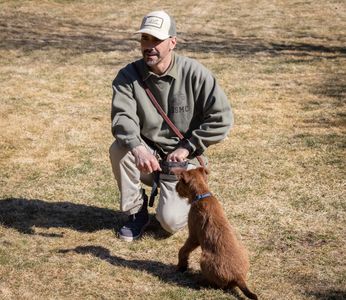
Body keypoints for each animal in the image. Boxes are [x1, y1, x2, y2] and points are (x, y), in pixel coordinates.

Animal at [174, 168, 258, 298]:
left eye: (180, 181)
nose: (175, 187)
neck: (202, 194)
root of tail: (239, 277)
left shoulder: (193, 236)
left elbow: (183, 250)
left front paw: (181, 266)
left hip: (204, 259)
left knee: (217, 285)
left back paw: (200, 281)